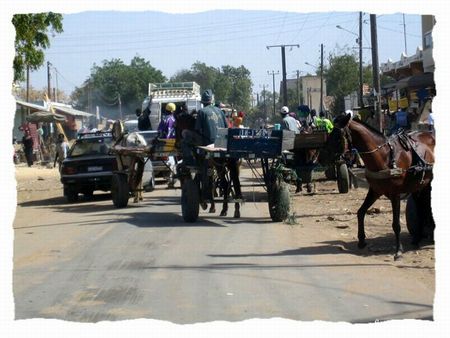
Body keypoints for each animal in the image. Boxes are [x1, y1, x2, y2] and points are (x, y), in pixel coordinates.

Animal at [332, 113, 434, 258]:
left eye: (337, 136)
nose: (326, 158)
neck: (384, 156)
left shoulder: (395, 194)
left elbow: (396, 224)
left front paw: (398, 250)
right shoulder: (375, 190)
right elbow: (360, 212)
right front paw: (361, 240)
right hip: (420, 185)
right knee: (422, 207)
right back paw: (418, 238)